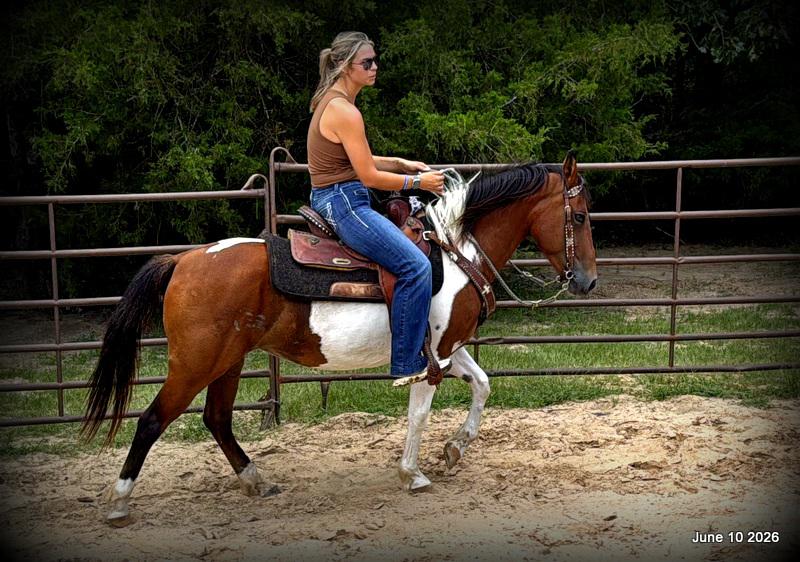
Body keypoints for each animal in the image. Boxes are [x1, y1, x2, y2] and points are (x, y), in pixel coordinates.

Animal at [82, 153, 597, 525]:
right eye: (580, 216)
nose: (588, 281)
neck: (455, 253)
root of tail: (183, 260)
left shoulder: (448, 348)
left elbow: (483, 385)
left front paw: (454, 449)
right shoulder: (431, 357)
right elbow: (419, 414)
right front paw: (412, 474)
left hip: (228, 361)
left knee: (217, 419)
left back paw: (254, 481)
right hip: (195, 363)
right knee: (152, 420)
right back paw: (119, 502)